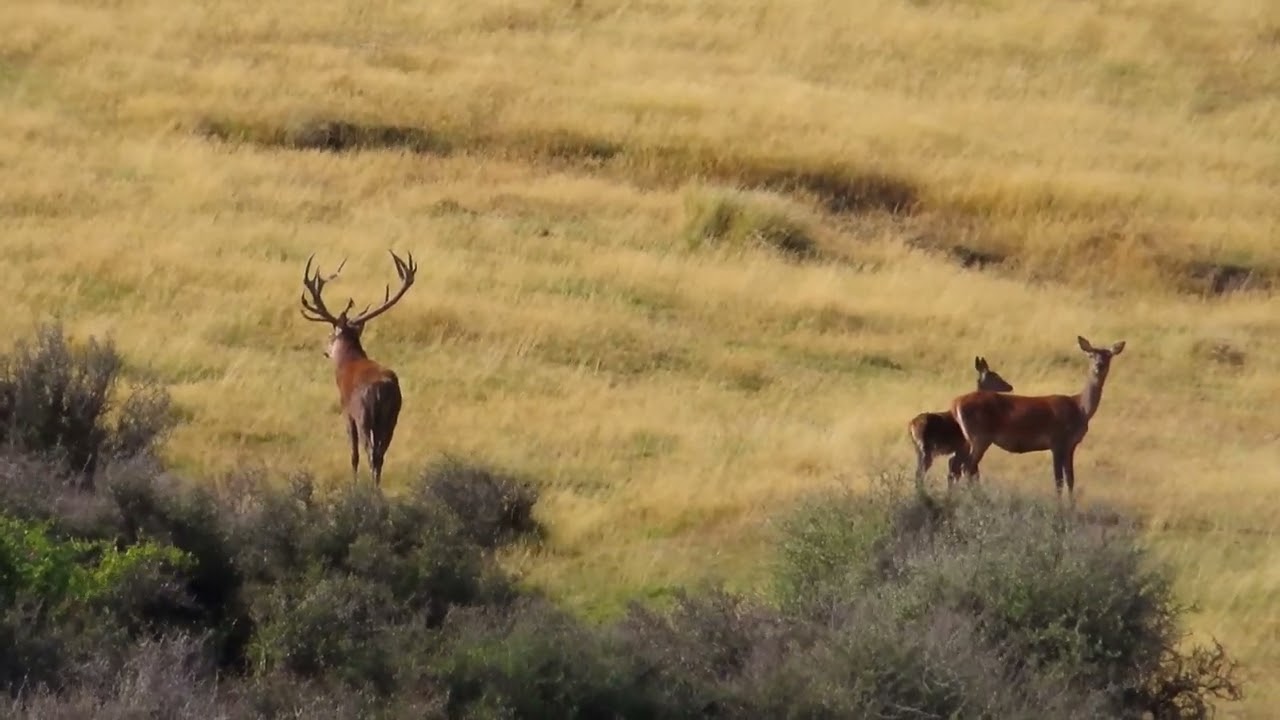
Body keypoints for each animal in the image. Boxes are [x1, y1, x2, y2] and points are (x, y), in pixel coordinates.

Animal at [299, 250, 417, 487]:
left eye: (331, 334)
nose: (326, 351)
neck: (348, 361)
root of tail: (382, 390)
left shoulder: (346, 410)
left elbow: (353, 454)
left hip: (364, 414)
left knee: (370, 452)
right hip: (392, 416)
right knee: (381, 454)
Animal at [908, 356, 1014, 489]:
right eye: (995, 376)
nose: (1010, 386)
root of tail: (911, 425)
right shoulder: (963, 446)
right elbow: (964, 471)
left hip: (918, 449)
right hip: (926, 448)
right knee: (920, 472)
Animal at [949, 335, 1126, 504]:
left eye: (1109, 355)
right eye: (1090, 355)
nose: (1099, 366)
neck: (1080, 408)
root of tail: (955, 403)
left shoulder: (1070, 445)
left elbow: (1070, 479)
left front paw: (1071, 506)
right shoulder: (1057, 441)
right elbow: (1058, 480)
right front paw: (1059, 506)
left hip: (971, 439)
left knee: (960, 465)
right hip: (980, 436)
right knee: (967, 467)